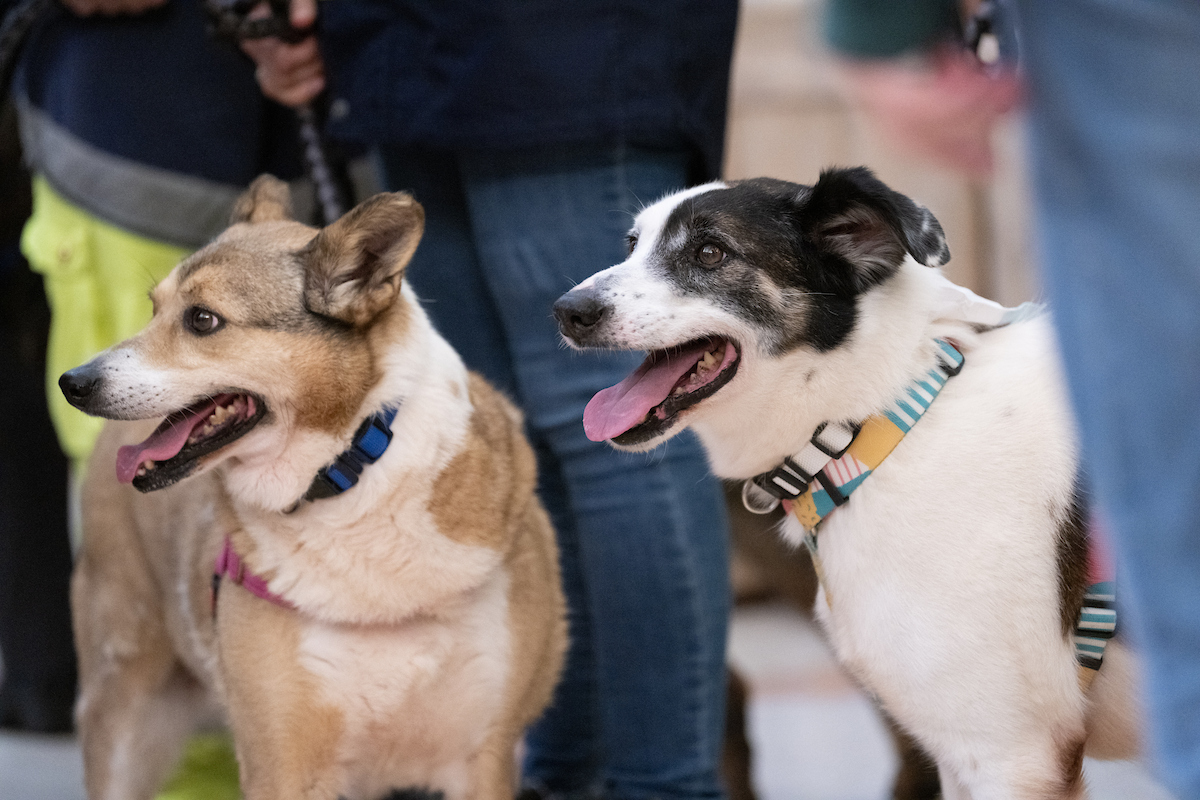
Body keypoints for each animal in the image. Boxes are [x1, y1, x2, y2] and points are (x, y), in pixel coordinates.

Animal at [63, 178, 568, 800]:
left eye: (202, 320)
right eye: (154, 308)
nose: (73, 382)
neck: (349, 473)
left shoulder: (486, 758)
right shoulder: (279, 763)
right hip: (123, 711)